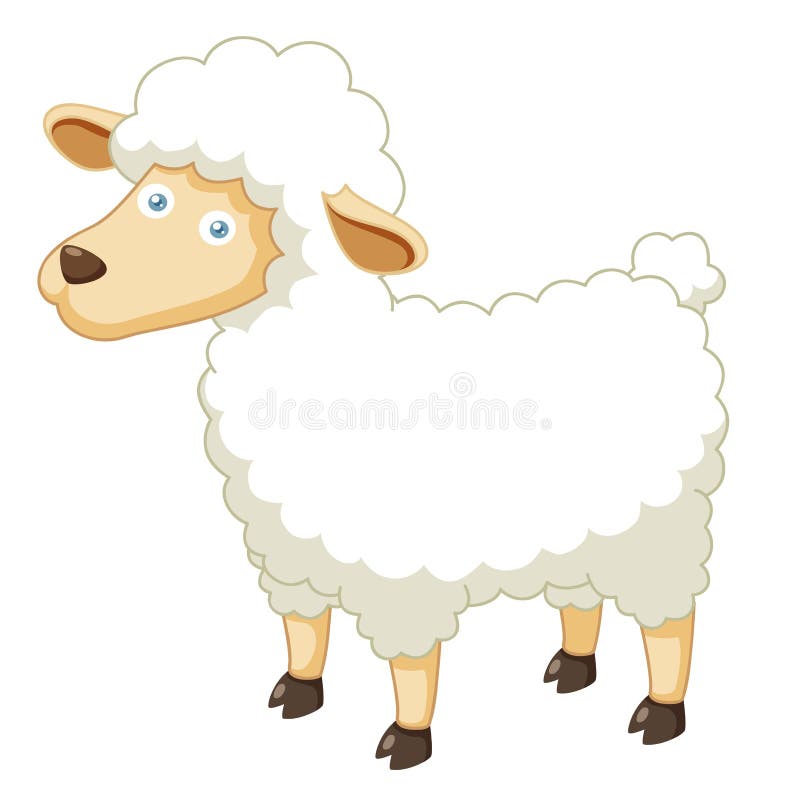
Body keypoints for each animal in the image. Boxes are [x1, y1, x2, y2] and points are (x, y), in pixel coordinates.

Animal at [39, 37, 726, 770]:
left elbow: (410, 666)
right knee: (581, 597)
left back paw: (660, 712)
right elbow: (304, 629)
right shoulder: (294, 549)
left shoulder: (399, 566)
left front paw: (408, 740)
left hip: (662, 523)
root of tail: (663, 286)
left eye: (220, 226)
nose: (76, 265)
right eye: (149, 193)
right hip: (586, 519)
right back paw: (571, 667)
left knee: (672, 620)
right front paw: (298, 692)